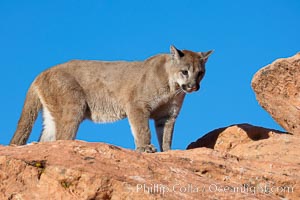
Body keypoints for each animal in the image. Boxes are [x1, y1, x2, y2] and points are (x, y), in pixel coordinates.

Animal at [9, 45, 213, 152]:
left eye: (200, 73)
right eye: (185, 71)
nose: (193, 86)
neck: (173, 88)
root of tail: (42, 73)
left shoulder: (167, 116)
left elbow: (166, 136)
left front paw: (167, 152)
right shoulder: (137, 106)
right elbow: (142, 129)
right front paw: (145, 148)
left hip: (53, 115)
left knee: (46, 139)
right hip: (74, 105)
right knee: (62, 137)